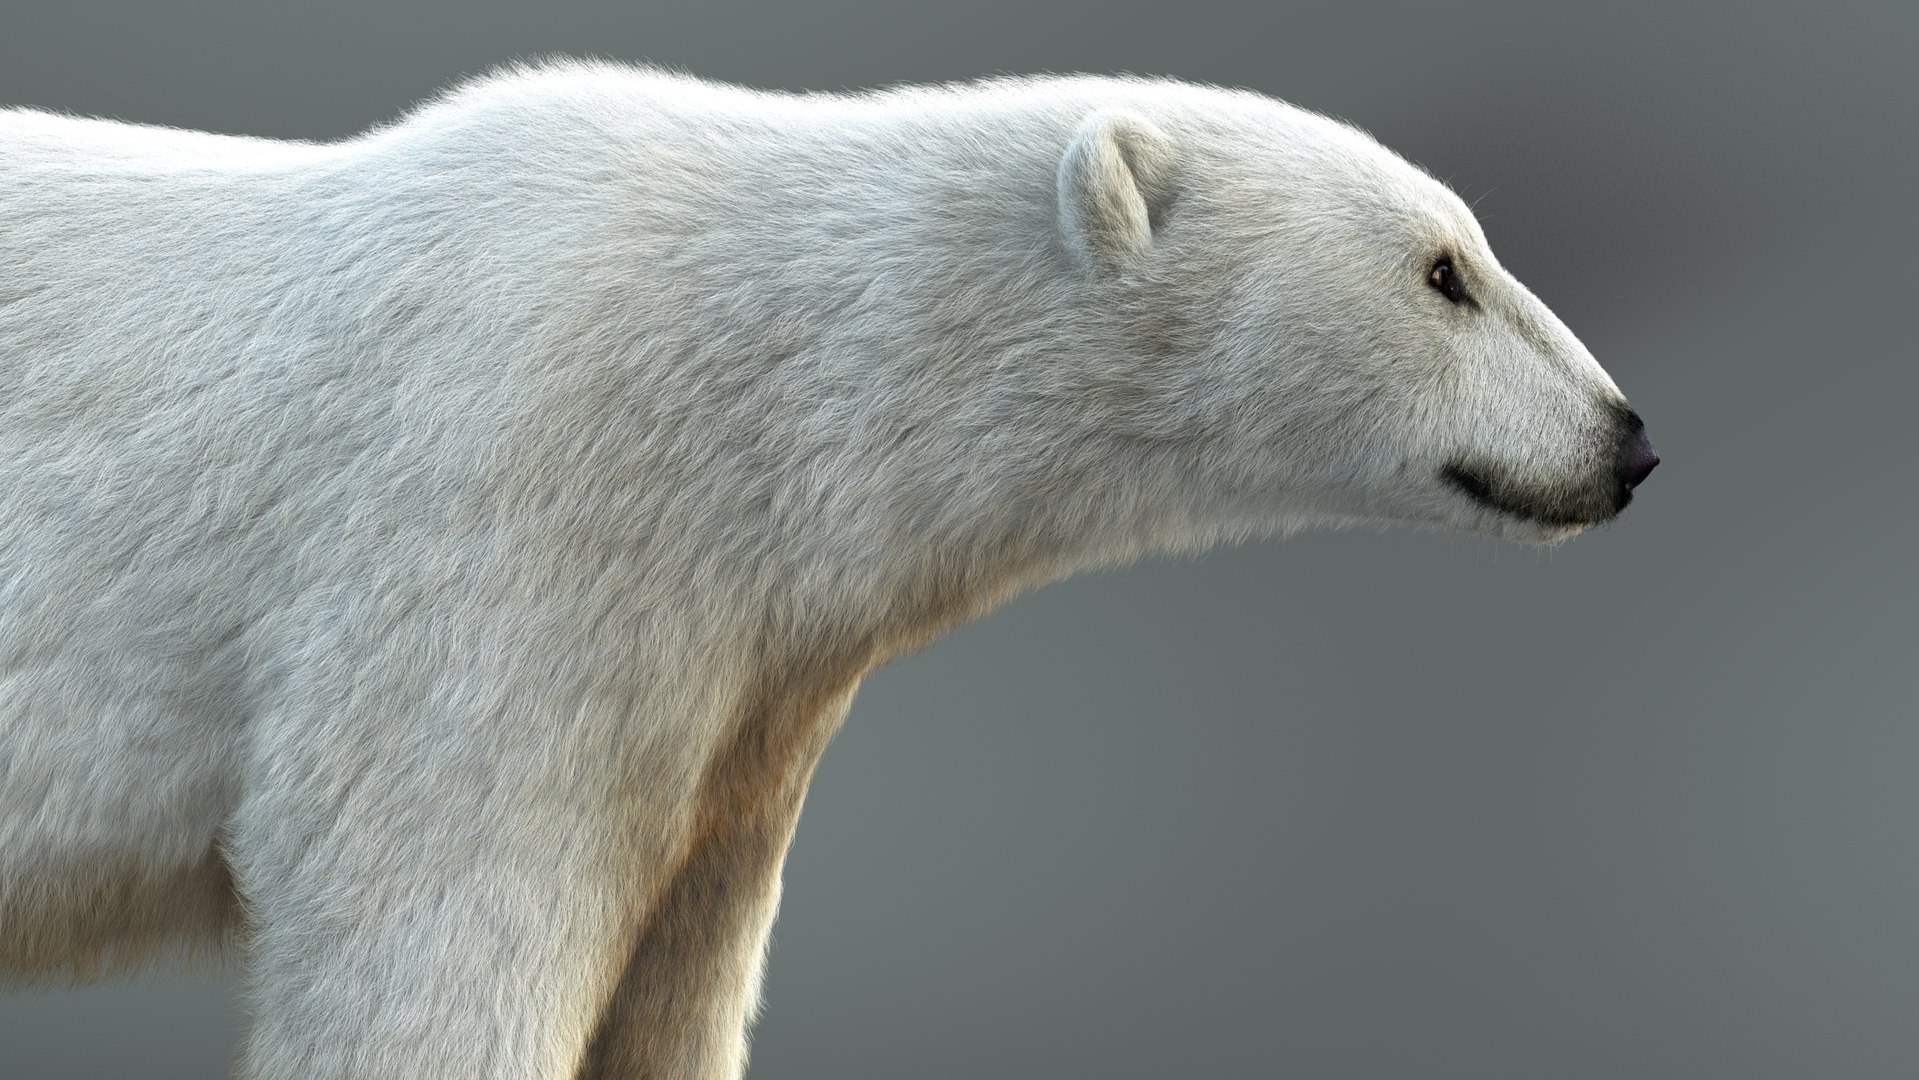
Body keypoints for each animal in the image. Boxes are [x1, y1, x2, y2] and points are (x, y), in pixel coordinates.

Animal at [0, 60, 1656, 1079]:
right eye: (1440, 272)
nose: (1624, 439)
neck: (744, 381)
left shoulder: (734, 686)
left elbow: (676, 957)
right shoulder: (498, 534)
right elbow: (426, 920)